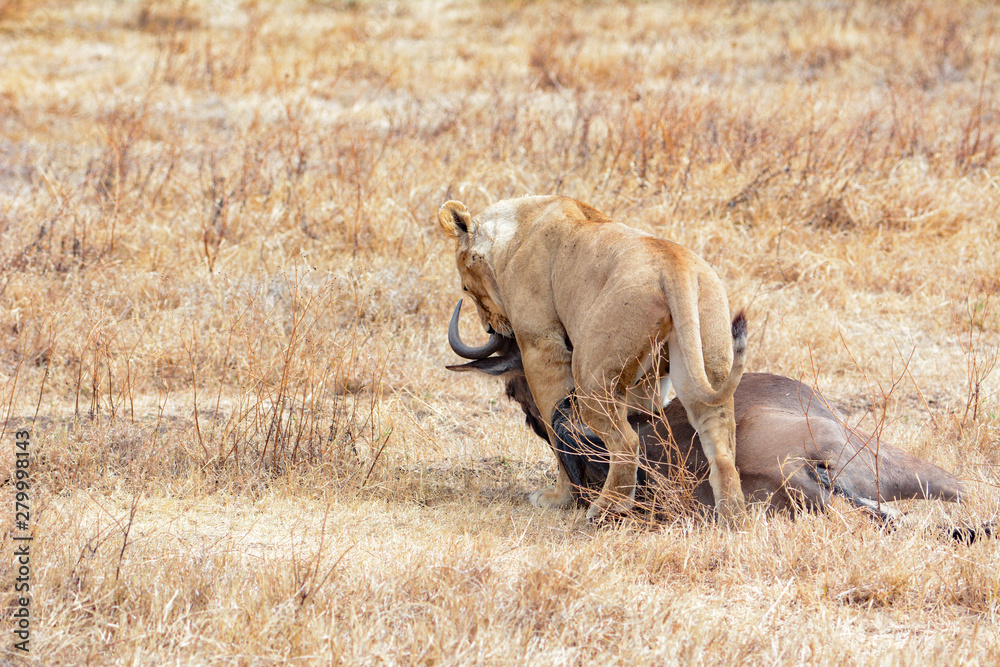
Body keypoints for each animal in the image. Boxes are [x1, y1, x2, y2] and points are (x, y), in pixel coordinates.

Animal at [438, 195, 747, 522]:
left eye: (465, 287)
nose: (489, 328)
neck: (514, 230)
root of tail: (674, 265)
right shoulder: (648, 380)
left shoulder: (541, 345)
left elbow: (555, 425)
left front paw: (558, 498)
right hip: (703, 362)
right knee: (721, 443)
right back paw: (732, 516)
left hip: (591, 375)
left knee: (626, 441)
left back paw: (606, 507)